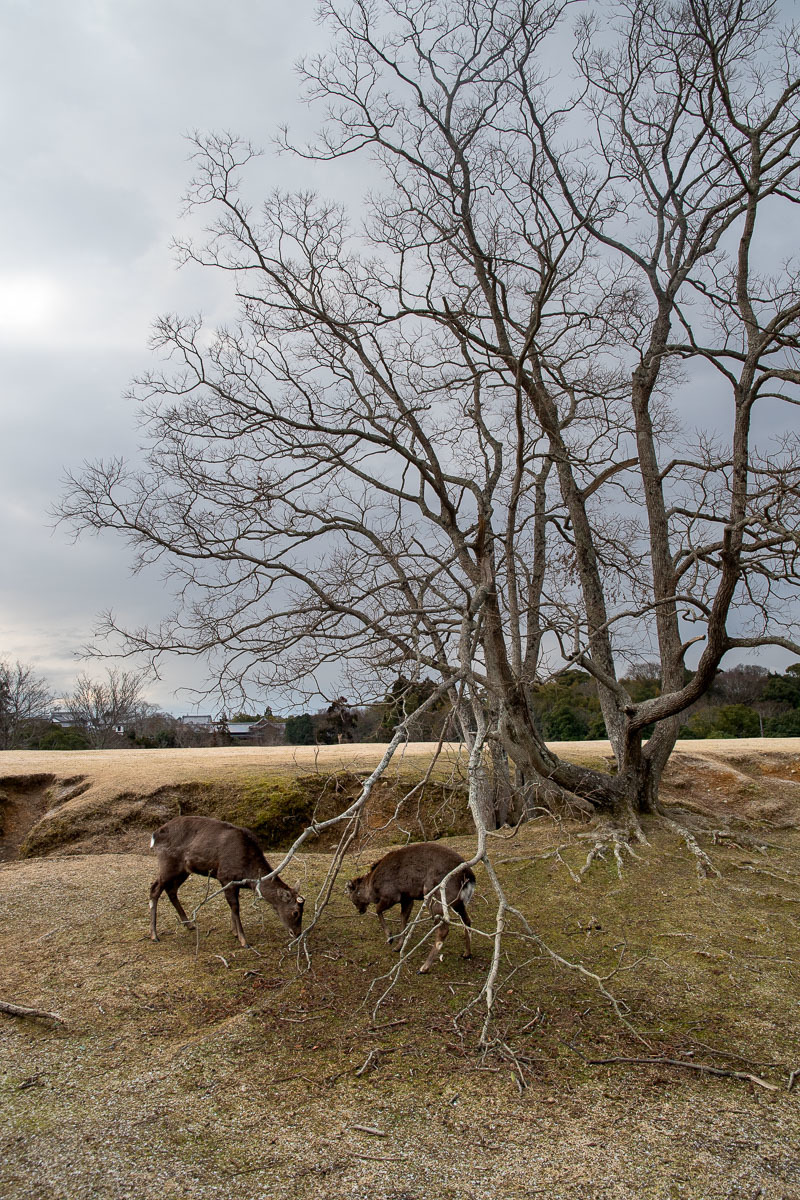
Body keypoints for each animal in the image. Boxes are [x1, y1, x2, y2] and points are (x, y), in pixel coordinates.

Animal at [148, 816, 303, 945]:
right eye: (295, 912)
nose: (297, 933)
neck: (248, 870)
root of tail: (154, 835)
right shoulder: (225, 876)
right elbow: (235, 906)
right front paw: (243, 940)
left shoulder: (236, 882)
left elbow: (234, 906)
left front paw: (234, 932)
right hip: (168, 863)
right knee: (154, 889)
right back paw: (154, 935)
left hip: (183, 870)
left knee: (171, 890)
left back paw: (189, 924)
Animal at [345, 844, 474, 974]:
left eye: (352, 898)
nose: (360, 911)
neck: (373, 889)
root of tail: (469, 878)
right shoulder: (407, 898)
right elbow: (403, 919)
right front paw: (398, 946)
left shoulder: (391, 895)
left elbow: (378, 910)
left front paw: (390, 937)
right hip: (458, 902)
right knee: (467, 920)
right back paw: (466, 953)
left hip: (434, 895)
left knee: (443, 930)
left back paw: (424, 968)